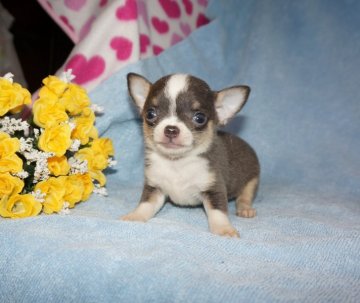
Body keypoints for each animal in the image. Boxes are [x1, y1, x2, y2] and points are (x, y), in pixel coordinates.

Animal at [121, 73, 258, 238]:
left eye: (199, 118)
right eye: (150, 114)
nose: (171, 129)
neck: (177, 163)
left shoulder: (214, 189)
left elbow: (218, 212)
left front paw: (223, 229)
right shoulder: (155, 188)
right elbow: (145, 204)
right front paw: (135, 216)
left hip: (252, 178)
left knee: (245, 196)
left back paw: (245, 209)